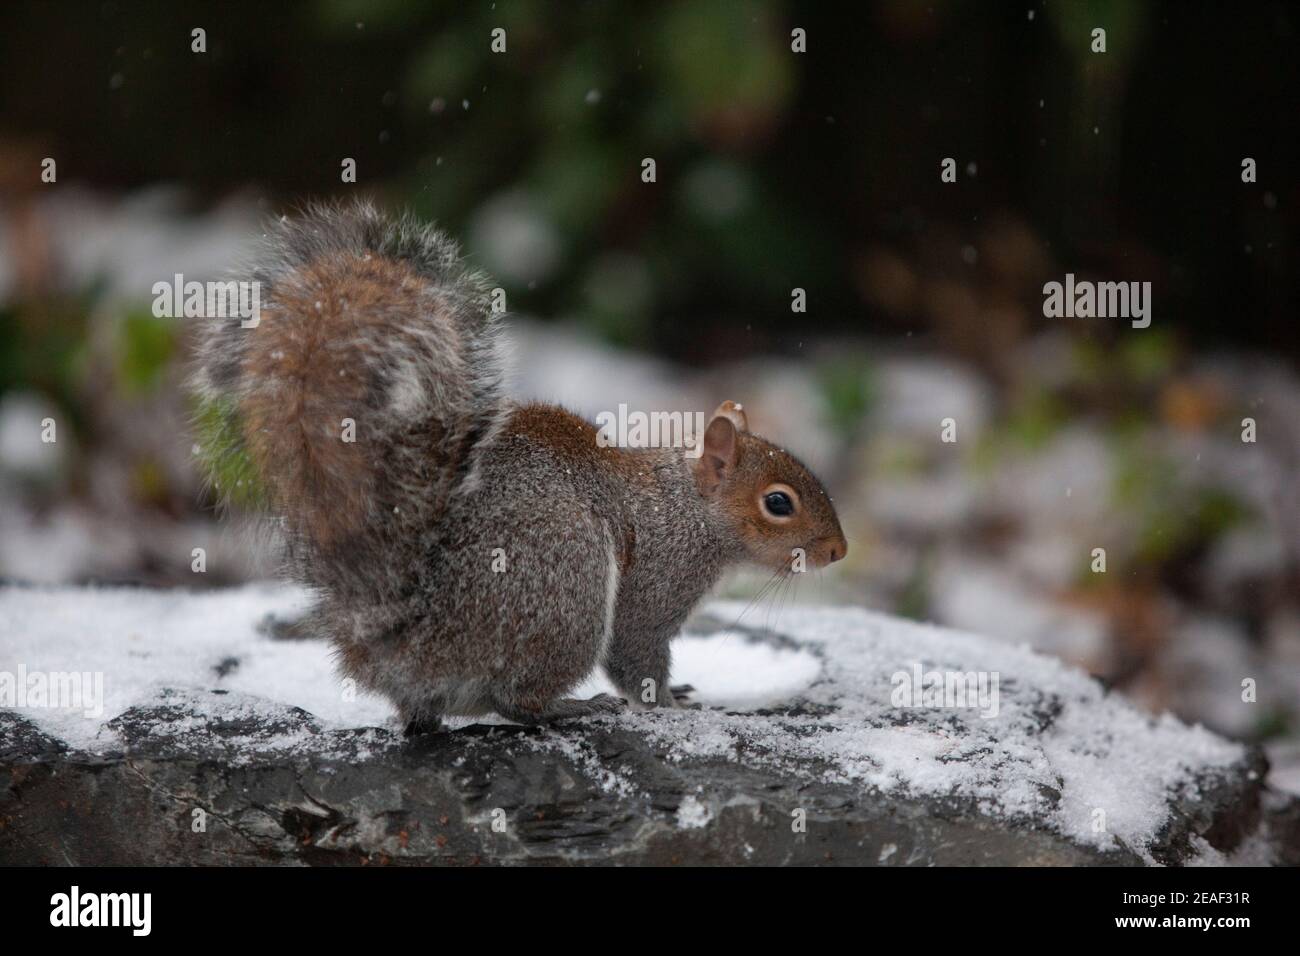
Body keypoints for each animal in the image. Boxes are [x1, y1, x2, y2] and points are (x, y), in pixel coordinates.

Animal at [188, 197, 847, 728]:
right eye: (778, 502)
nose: (839, 552)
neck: (687, 507)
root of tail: (400, 645)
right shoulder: (658, 578)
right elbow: (636, 655)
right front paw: (671, 704)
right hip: (565, 579)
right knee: (514, 700)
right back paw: (569, 707)